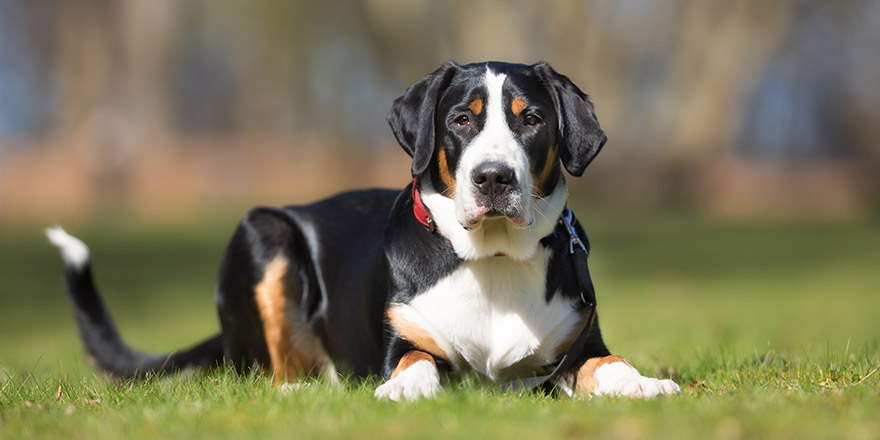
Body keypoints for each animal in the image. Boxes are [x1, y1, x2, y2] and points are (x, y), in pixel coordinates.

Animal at [46, 60, 680, 400]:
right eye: (461, 120)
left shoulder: (576, 347)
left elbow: (607, 364)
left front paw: (644, 383)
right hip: (264, 231)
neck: (493, 260)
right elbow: (414, 361)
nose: (493, 178)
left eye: (532, 120)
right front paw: (404, 387)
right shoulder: (403, 340)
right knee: (274, 373)